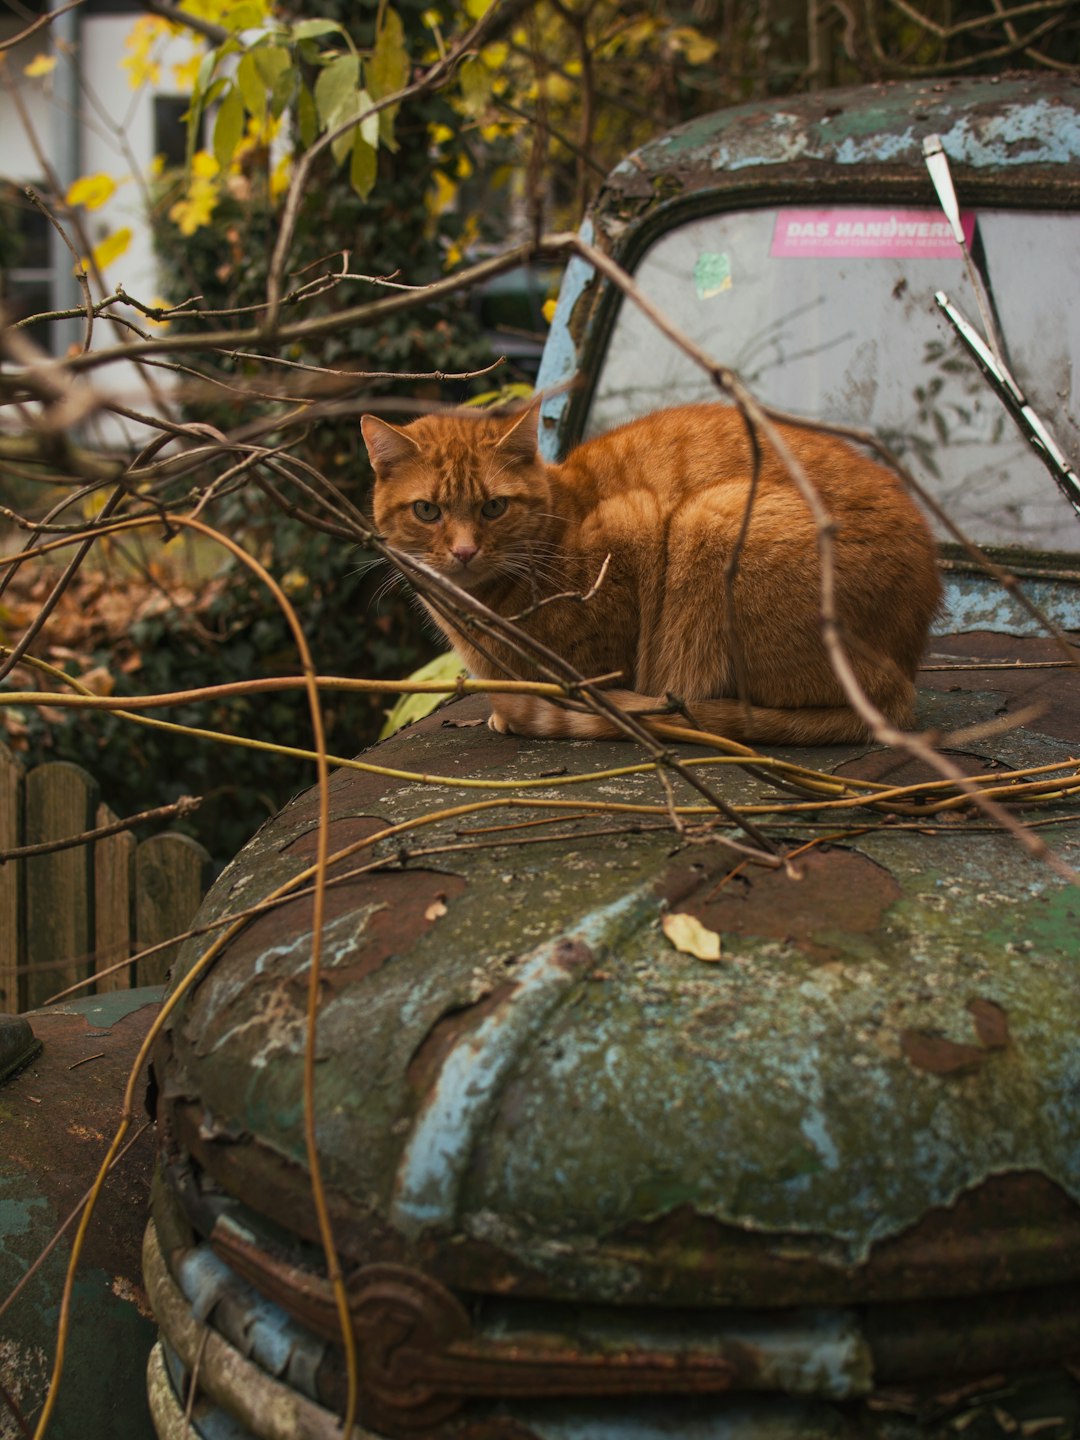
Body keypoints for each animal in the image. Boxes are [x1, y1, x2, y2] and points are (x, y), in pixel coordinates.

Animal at [361, 403, 938, 748]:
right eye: (428, 511)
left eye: (494, 507)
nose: (463, 551)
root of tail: (904, 673)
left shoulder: (630, 532)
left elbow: (599, 665)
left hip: (712, 519)